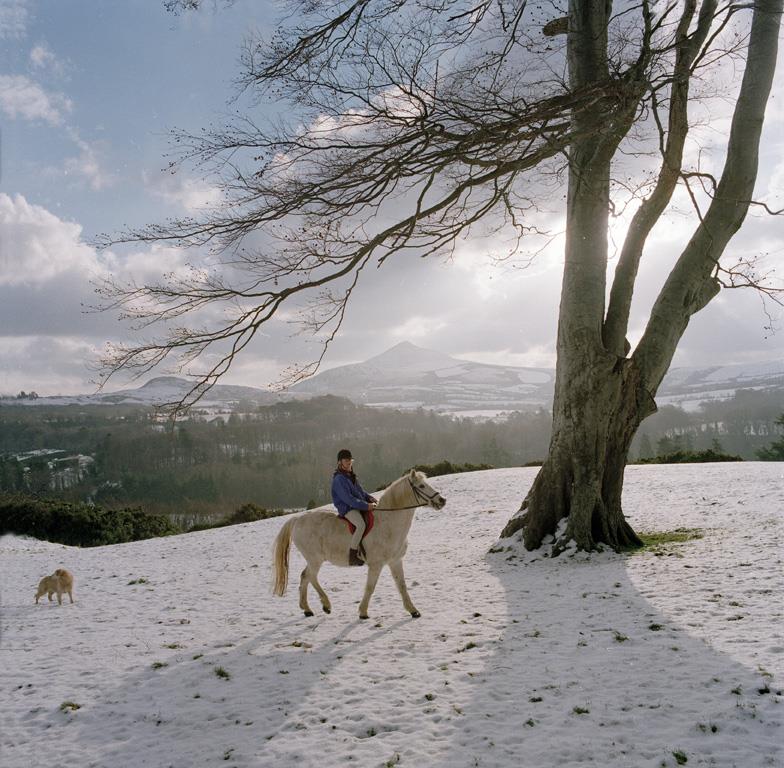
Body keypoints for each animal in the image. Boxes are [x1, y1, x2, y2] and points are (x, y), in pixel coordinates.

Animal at [274, 468, 448, 624]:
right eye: (421, 486)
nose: (442, 500)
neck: (387, 523)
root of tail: (297, 519)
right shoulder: (376, 565)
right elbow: (370, 587)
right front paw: (363, 613)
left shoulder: (395, 561)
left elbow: (402, 585)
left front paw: (413, 611)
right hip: (315, 559)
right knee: (309, 576)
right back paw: (325, 605)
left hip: (314, 560)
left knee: (306, 577)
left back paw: (308, 610)